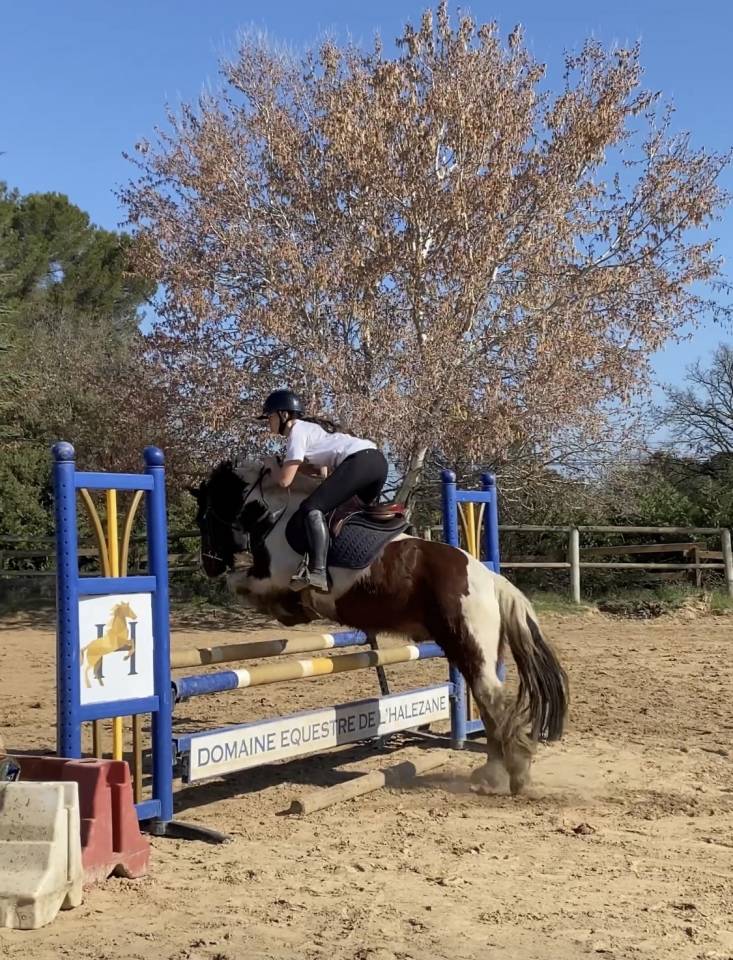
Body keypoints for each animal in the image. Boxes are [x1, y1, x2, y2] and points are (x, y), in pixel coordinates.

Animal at [189, 458, 568, 795]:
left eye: (204, 518)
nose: (208, 565)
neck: (277, 513)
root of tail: (490, 579)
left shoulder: (272, 577)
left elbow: (239, 584)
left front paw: (289, 606)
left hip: (470, 646)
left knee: (491, 699)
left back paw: (509, 775)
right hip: (473, 651)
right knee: (488, 703)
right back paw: (495, 774)